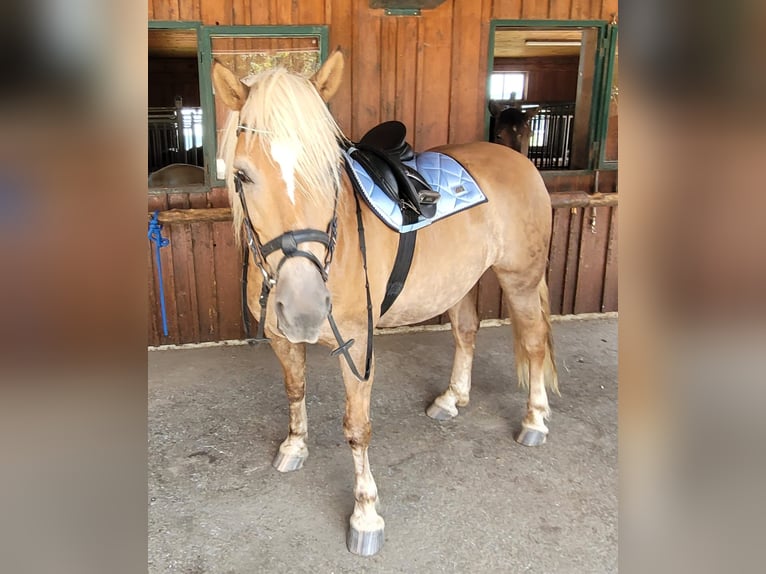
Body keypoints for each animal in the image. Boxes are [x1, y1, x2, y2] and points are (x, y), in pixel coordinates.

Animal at [210, 50, 560, 560]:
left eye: (329, 171)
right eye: (241, 175)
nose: (305, 305)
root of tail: (518, 161)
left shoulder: (357, 346)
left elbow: (357, 427)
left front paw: (365, 515)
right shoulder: (281, 339)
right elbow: (295, 391)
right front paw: (294, 447)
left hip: (521, 280)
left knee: (533, 342)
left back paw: (534, 419)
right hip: (459, 281)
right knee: (466, 331)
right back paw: (452, 398)